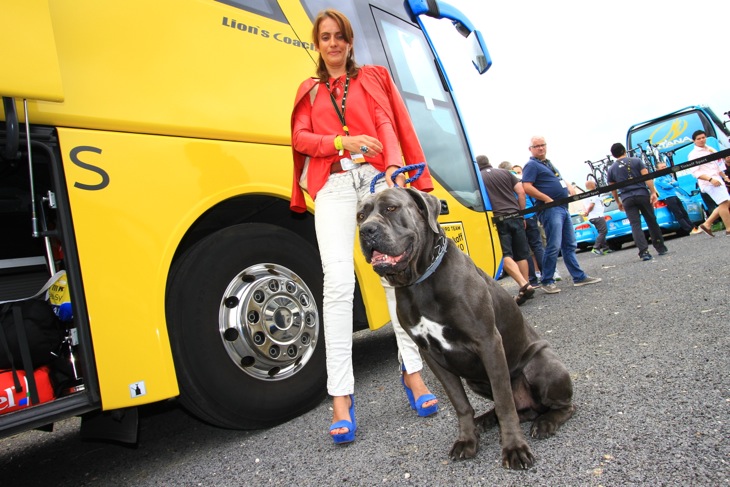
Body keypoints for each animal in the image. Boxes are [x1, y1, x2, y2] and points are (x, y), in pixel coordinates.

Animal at [356, 187, 572, 468]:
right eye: (360, 216)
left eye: (391, 208)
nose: (366, 230)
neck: (420, 281)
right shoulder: (433, 356)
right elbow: (461, 405)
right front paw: (467, 440)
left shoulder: (488, 342)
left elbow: (504, 403)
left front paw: (514, 447)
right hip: (476, 381)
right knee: (517, 408)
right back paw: (486, 420)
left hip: (541, 364)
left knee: (561, 406)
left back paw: (545, 422)